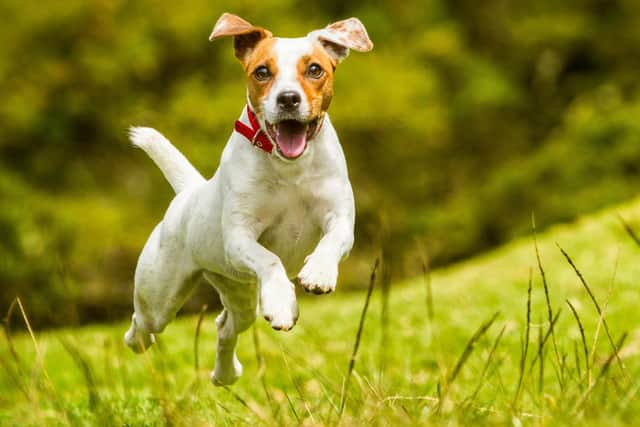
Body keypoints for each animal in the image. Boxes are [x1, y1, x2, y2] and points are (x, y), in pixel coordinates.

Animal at [124, 14, 372, 388]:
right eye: (262, 72)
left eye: (315, 69)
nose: (288, 99)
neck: (289, 167)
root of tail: (188, 192)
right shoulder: (239, 237)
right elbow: (270, 259)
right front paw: (283, 301)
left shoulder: (340, 217)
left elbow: (332, 241)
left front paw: (317, 272)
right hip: (160, 294)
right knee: (143, 323)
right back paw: (139, 341)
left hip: (239, 293)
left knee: (225, 327)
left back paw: (225, 374)